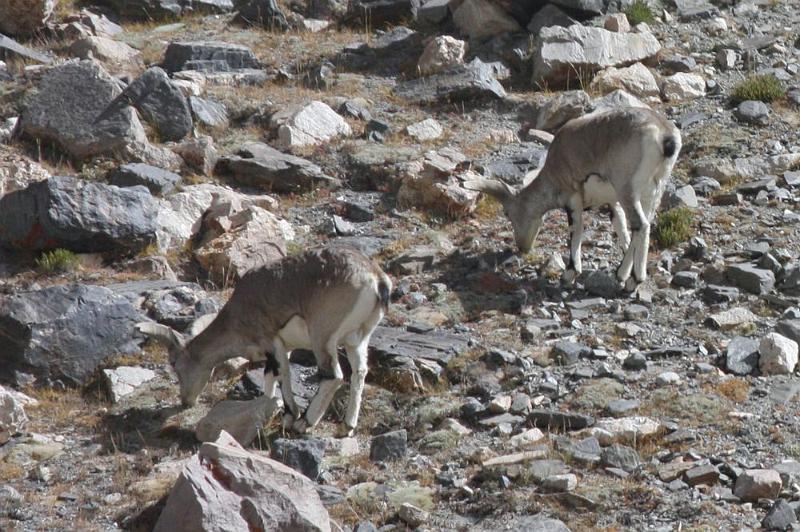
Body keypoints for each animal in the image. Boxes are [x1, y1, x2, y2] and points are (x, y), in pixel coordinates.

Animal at [136, 245, 392, 437]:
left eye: (174, 364)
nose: (185, 400)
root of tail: (376, 279)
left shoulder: (273, 342)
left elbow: (283, 375)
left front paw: (290, 416)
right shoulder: (280, 350)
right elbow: (270, 377)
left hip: (323, 336)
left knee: (334, 376)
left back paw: (306, 423)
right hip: (356, 340)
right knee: (359, 373)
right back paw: (347, 426)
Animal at [465, 107, 681, 289]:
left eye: (507, 213)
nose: (522, 247)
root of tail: (664, 134)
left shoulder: (573, 198)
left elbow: (576, 231)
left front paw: (569, 274)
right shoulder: (613, 201)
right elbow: (621, 230)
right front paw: (621, 273)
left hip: (627, 189)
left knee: (641, 225)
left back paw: (634, 280)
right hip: (652, 192)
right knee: (643, 224)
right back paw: (625, 275)